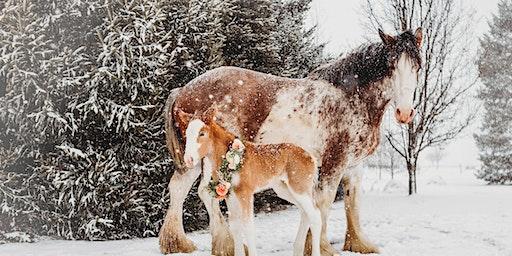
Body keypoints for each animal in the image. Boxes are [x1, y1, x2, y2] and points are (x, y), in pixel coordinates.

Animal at [177, 109, 320, 256]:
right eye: (186, 134)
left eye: (202, 133)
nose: (188, 159)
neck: (227, 158)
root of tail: (311, 158)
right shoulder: (229, 194)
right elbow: (235, 226)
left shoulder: (245, 193)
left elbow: (248, 226)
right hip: (284, 190)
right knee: (305, 213)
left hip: (299, 189)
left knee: (315, 215)